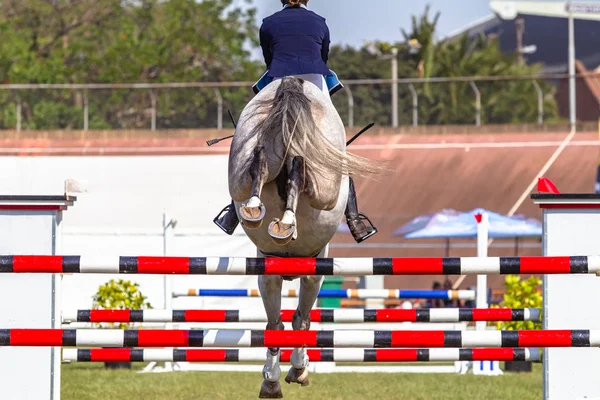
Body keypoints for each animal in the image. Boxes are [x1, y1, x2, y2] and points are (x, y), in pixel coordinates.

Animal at [225, 76, 384, 398]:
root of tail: (291, 83)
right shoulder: (314, 270)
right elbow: (301, 319)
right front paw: (295, 371)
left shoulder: (269, 269)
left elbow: (278, 324)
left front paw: (276, 376)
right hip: (325, 185)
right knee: (300, 170)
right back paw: (285, 218)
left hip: (243, 164)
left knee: (260, 162)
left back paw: (258, 210)